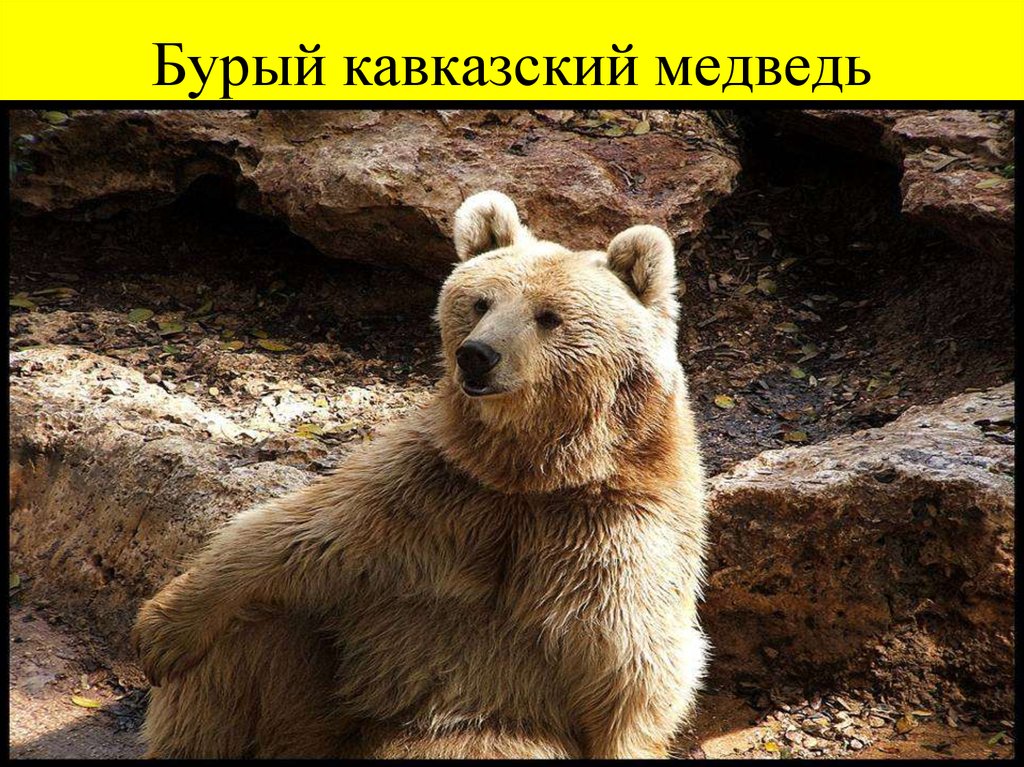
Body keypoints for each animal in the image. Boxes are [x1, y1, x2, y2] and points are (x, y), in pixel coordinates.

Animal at [133, 190, 709, 759]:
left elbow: (633, 672)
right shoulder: (435, 490)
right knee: (236, 652)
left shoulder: (611, 534)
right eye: (481, 302)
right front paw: (158, 633)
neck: (529, 474)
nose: (477, 355)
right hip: (315, 693)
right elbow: (298, 535)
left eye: (549, 316)